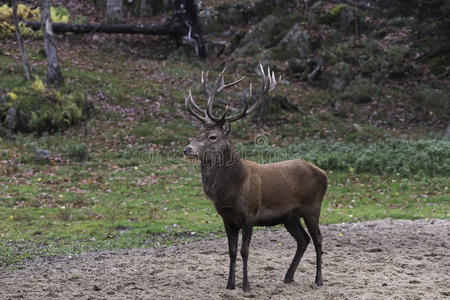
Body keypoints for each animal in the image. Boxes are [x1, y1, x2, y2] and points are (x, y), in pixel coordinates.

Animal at [182, 64, 326, 292]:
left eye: (213, 136)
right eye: (197, 134)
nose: (187, 149)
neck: (230, 192)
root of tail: (324, 174)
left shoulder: (250, 214)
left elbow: (244, 251)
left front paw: (246, 285)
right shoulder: (226, 218)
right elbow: (231, 251)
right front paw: (230, 284)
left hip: (313, 207)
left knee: (318, 239)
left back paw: (318, 280)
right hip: (290, 216)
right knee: (303, 239)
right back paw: (288, 276)